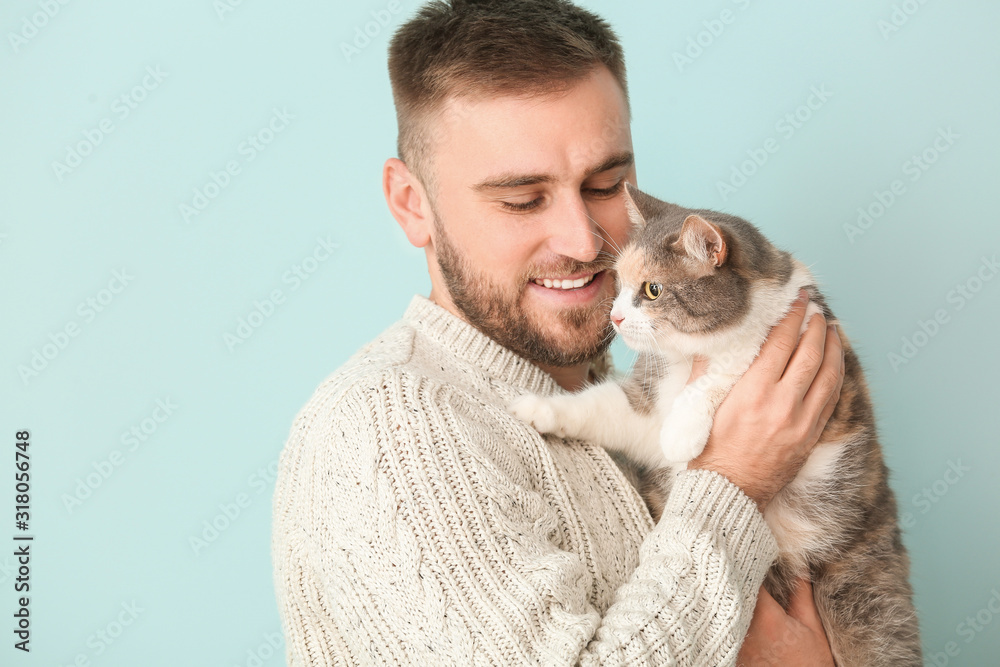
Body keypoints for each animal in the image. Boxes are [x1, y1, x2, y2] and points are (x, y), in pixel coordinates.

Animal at [512, 184, 924, 667]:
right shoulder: (647, 403)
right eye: (619, 283)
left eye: (653, 290)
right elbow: (601, 408)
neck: (691, 353)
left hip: (862, 588)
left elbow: (737, 360)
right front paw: (537, 409)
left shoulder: (808, 334)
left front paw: (682, 430)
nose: (615, 317)